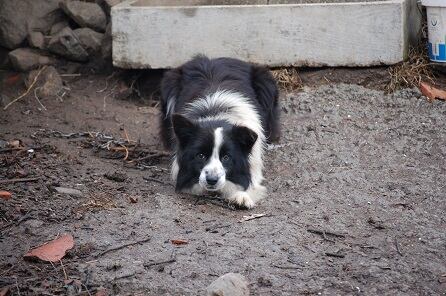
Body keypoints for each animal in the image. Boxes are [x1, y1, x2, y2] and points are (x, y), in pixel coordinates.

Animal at [159, 55, 278, 208]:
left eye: (226, 157)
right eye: (200, 155)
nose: (211, 180)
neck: (217, 116)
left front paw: (242, 196)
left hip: (266, 82)